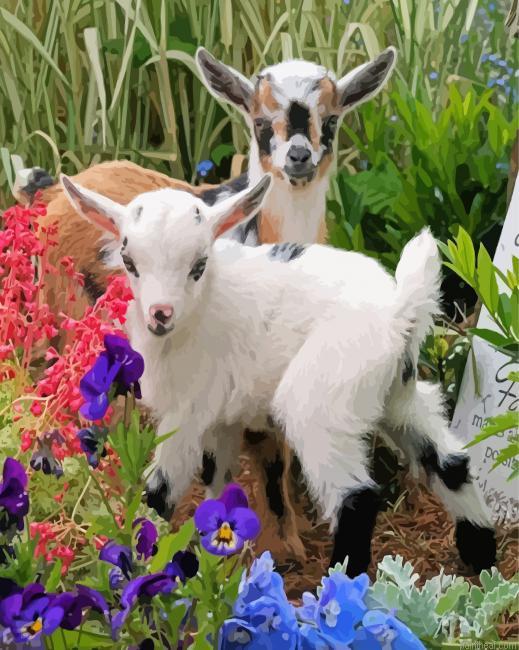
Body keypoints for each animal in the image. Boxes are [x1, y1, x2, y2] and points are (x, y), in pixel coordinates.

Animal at [60, 173, 497, 577]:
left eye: (198, 265)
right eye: (130, 262)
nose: (160, 315)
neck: (198, 312)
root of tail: (400, 310)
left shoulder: (188, 411)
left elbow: (161, 491)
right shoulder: (221, 418)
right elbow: (218, 483)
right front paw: (218, 560)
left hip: (322, 395)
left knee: (356, 498)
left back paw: (341, 589)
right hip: (395, 391)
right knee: (449, 461)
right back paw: (481, 561)